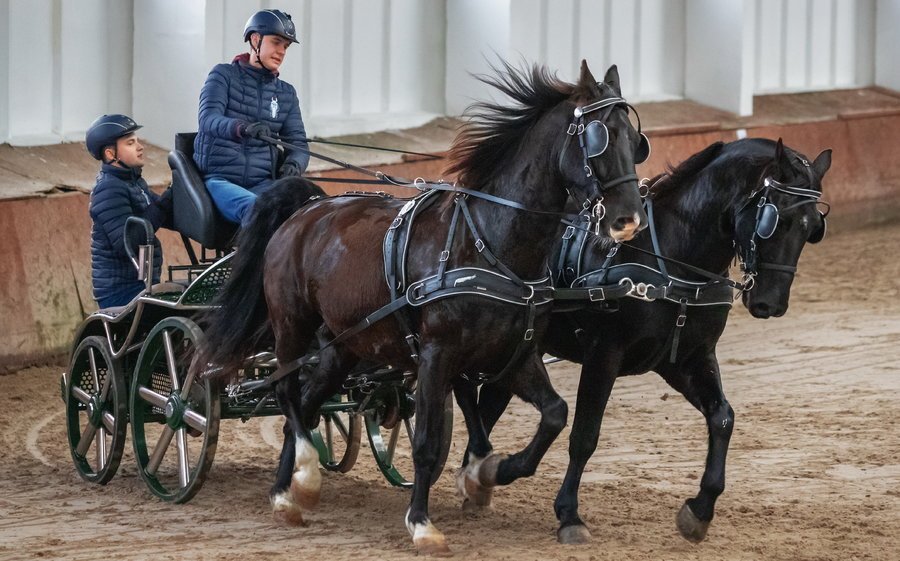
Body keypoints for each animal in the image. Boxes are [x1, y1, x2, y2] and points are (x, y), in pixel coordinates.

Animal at [199, 61, 648, 552]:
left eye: (634, 140)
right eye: (599, 136)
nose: (628, 219)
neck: (489, 244)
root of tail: (307, 209)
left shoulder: (514, 355)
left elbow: (554, 414)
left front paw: (488, 473)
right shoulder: (436, 356)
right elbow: (427, 444)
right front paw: (422, 523)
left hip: (343, 346)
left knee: (308, 401)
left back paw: (288, 491)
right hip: (292, 325)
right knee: (286, 393)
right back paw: (305, 473)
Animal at [460, 139, 832, 544]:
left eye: (813, 228)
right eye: (774, 220)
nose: (771, 304)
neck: (671, 259)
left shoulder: (686, 359)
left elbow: (722, 418)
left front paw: (699, 511)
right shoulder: (604, 355)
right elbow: (585, 435)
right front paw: (569, 514)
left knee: (486, 407)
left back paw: (476, 480)